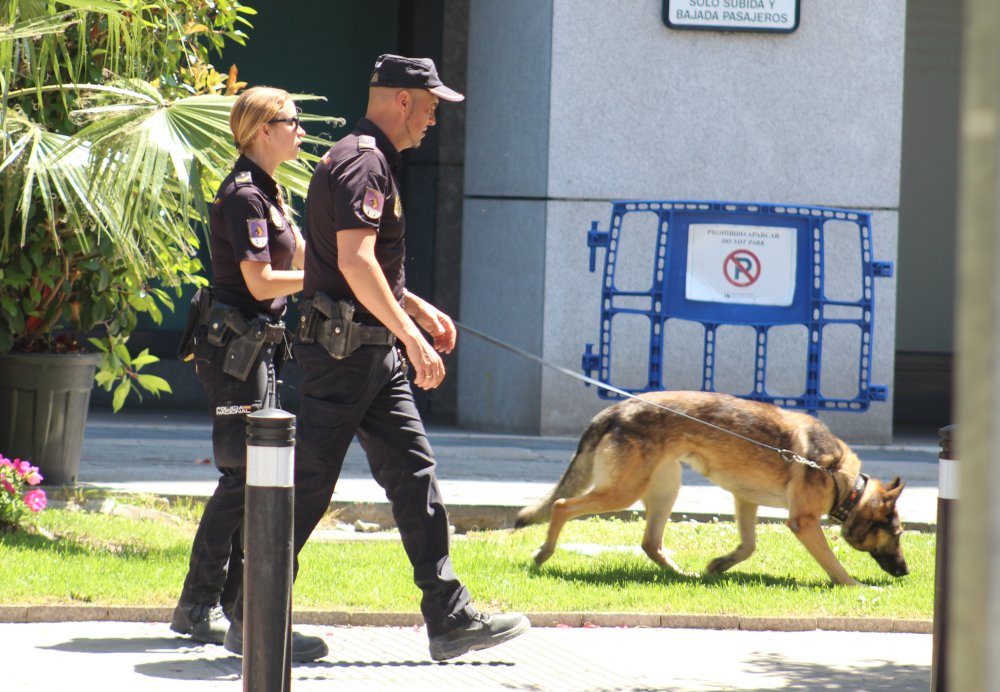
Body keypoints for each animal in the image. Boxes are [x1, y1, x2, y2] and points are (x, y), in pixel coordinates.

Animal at [520, 390, 912, 584]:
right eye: (897, 533)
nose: (907, 571)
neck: (844, 482)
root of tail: (613, 411)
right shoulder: (804, 522)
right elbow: (833, 563)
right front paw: (853, 585)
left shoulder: (745, 500)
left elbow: (748, 546)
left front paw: (720, 565)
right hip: (624, 492)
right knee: (562, 506)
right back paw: (544, 553)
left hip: (665, 488)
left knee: (650, 543)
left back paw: (684, 575)